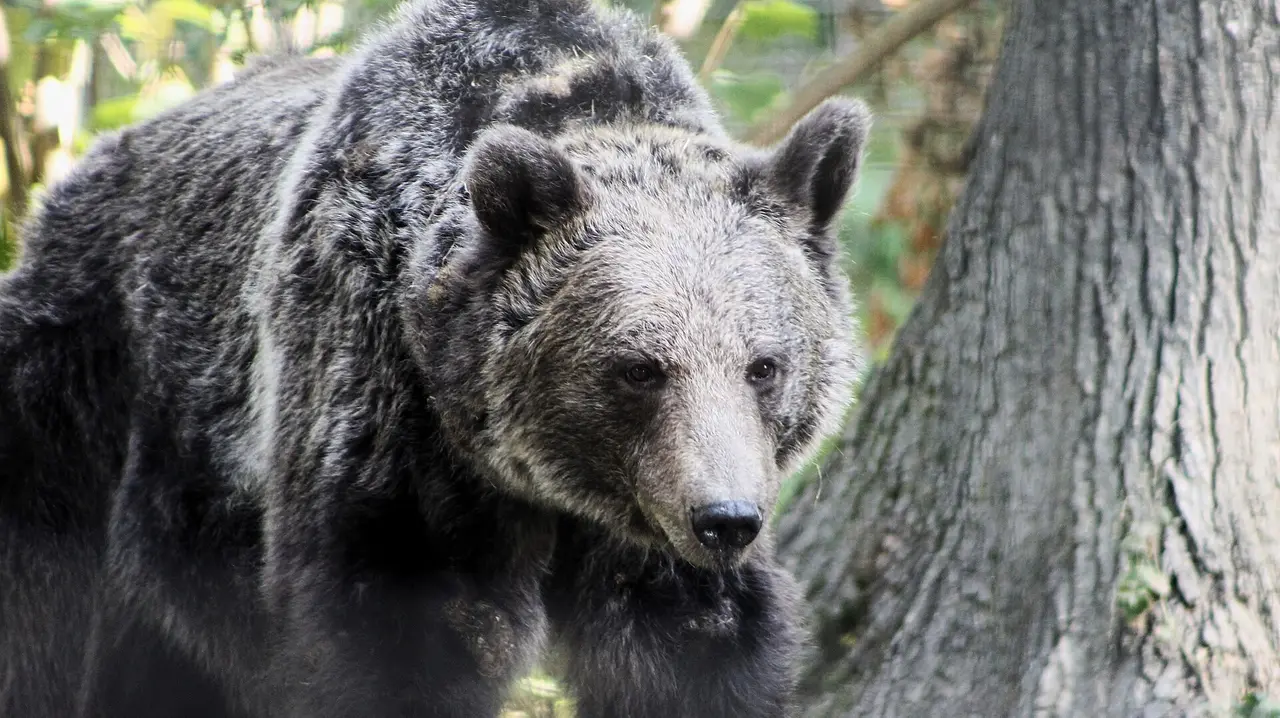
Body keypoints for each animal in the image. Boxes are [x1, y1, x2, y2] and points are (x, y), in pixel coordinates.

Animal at [0, 0, 870, 716]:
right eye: (640, 368)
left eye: (764, 365)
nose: (725, 519)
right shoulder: (386, 420)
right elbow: (391, 644)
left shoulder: (651, 530)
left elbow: (694, 647)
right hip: (85, 396)